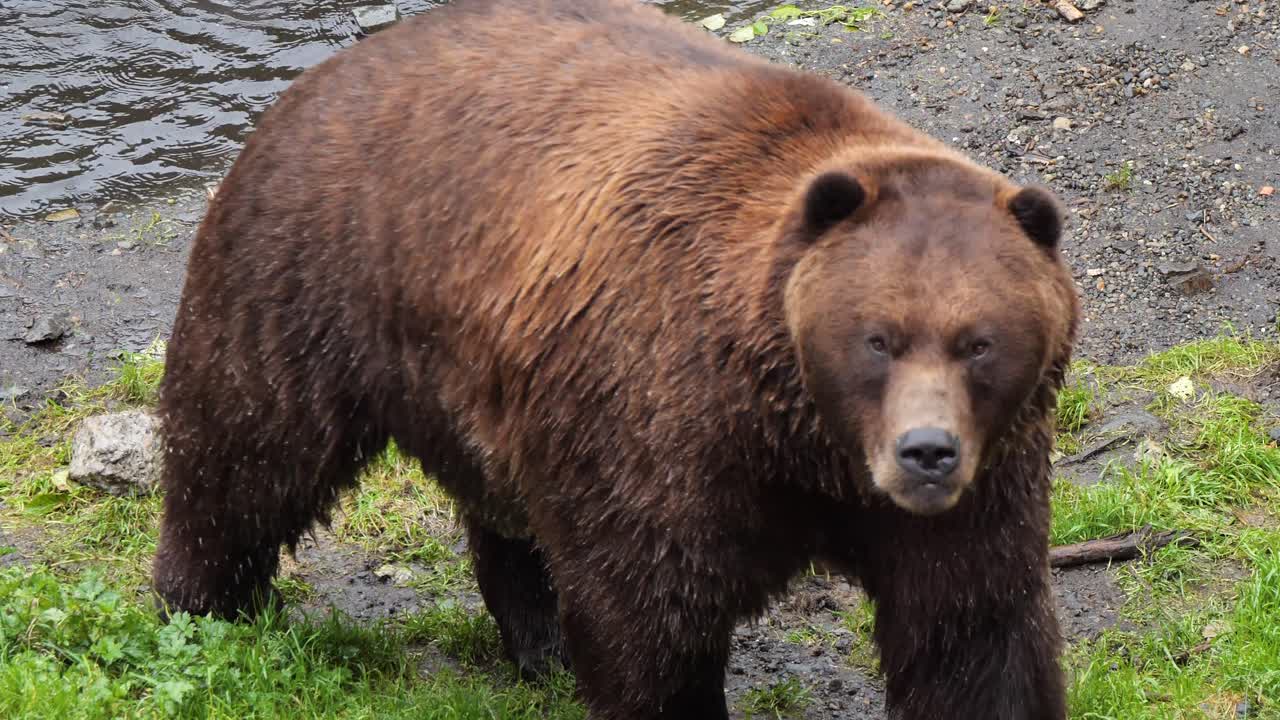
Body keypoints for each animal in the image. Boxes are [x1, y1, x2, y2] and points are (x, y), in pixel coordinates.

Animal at [150, 0, 1081, 718]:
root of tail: (327, 71)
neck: (801, 439)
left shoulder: (980, 487)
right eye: (877, 338)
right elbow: (650, 619)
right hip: (309, 270)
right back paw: (203, 604)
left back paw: (539, 642)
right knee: (247, 447)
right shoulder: (661, 421)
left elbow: (971, 633)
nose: (927, 453)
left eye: (979, 341)